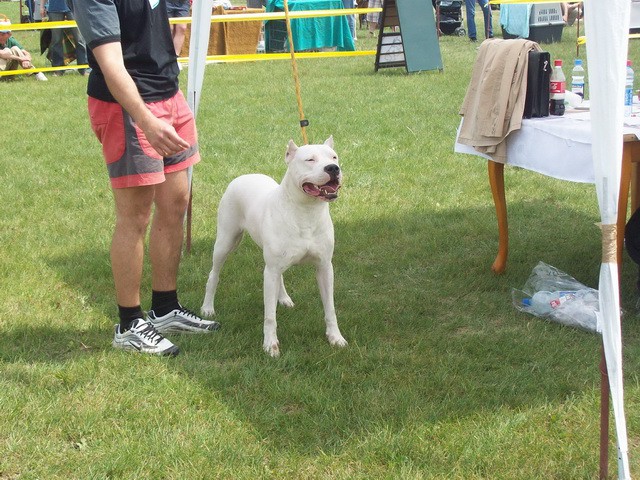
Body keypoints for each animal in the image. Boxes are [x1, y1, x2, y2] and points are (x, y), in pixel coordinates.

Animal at [201, 136, 348, 356]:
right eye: (310, 159)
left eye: (334, 157)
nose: (333, 168)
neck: (306, 212)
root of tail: (244, 175)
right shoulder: (269, 272)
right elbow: (270, 315)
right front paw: (270, 345)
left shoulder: (324, 268)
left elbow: (330, 308)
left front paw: (335, 337)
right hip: (226, 241)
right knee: (214, 274)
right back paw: (208, 307)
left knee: (280, 276)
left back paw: (284, 298)